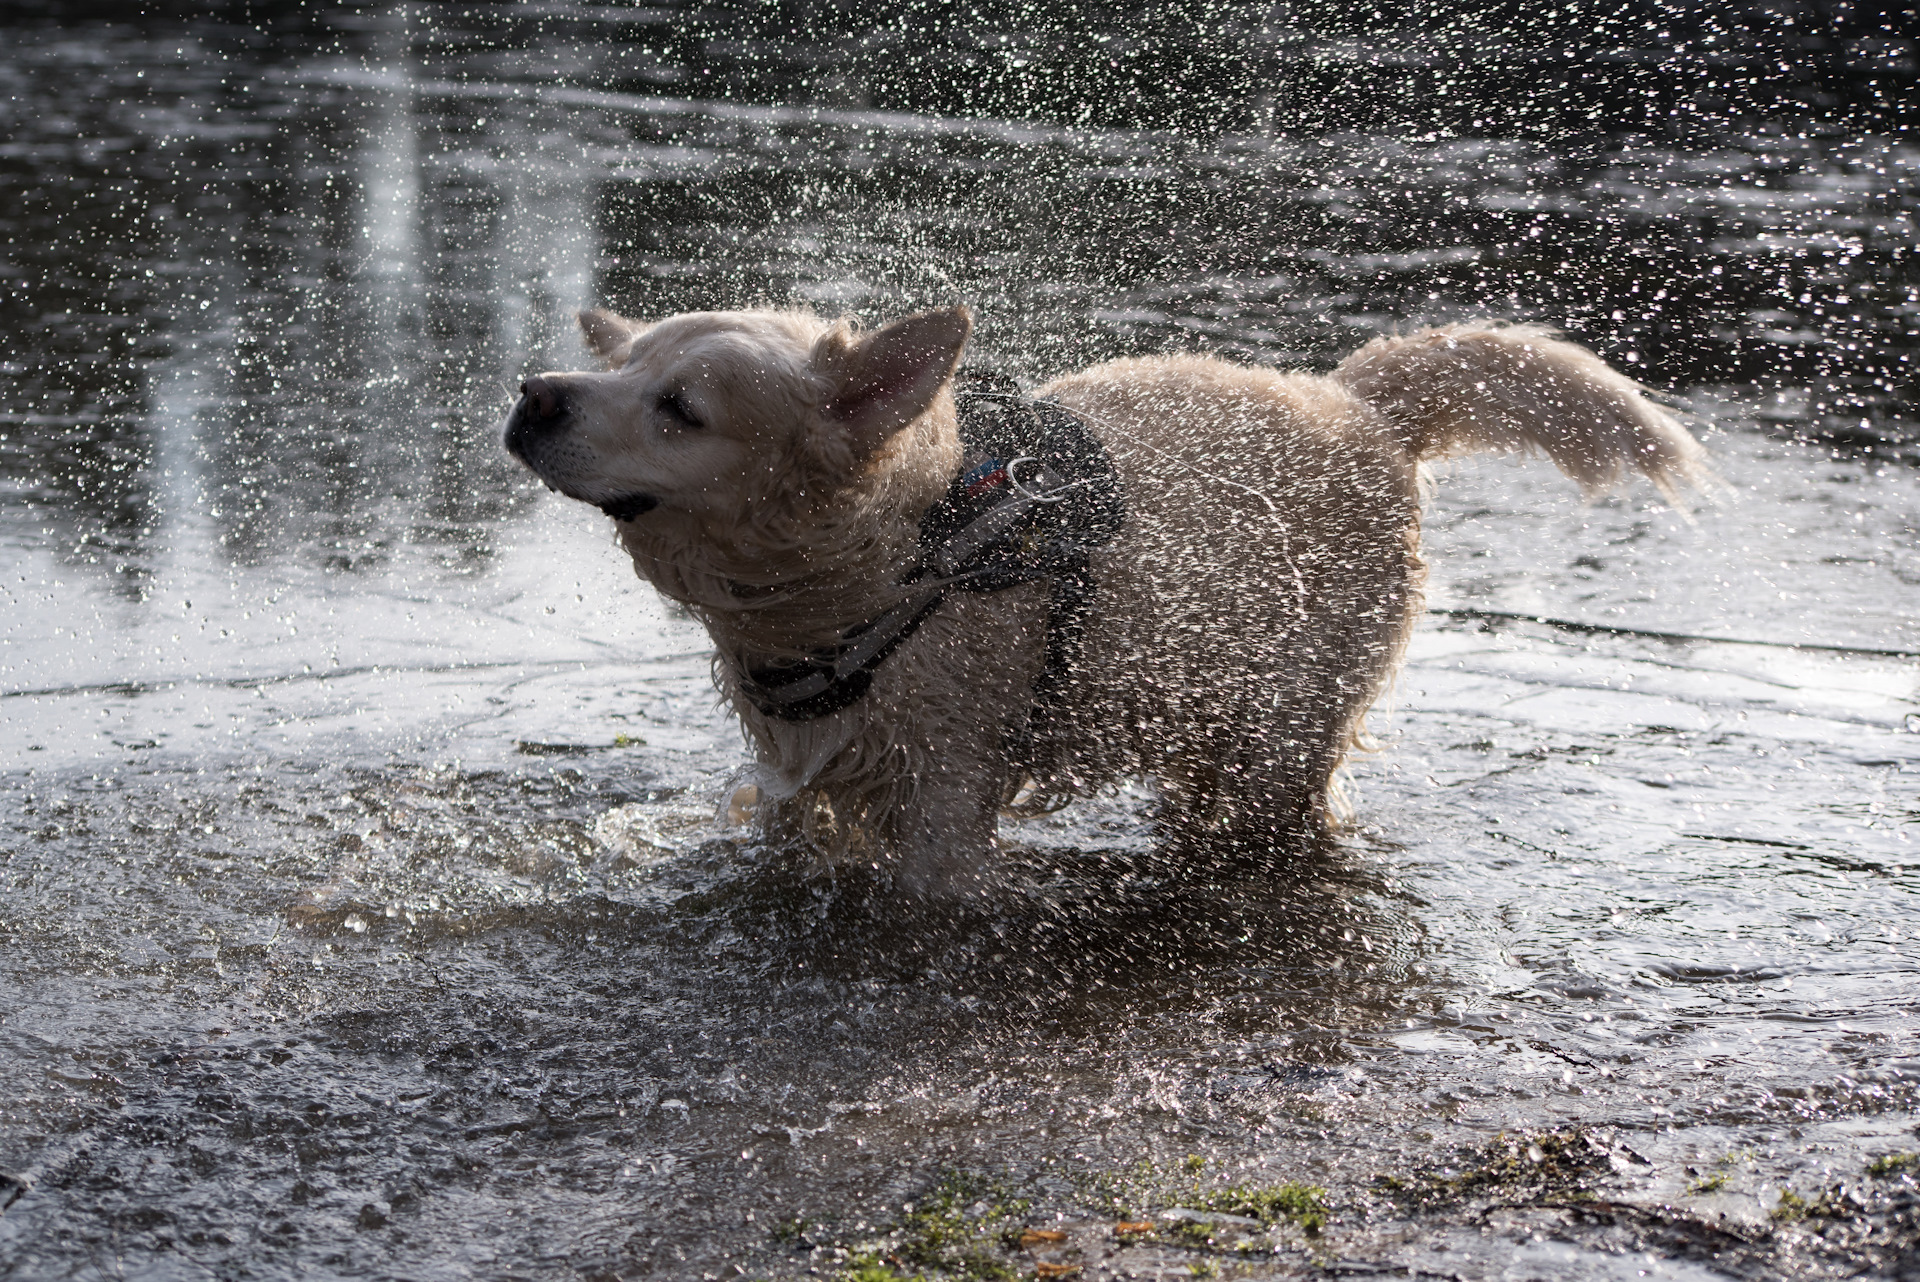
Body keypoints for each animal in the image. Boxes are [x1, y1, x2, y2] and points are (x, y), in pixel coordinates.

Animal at [503, 305, 1704, 898]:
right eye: (619, 363)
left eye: (682, 407)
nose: (535, 394)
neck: (909, 552)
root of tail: (1356, 402)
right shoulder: (802, 781)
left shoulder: (946, 803)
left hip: (1284, 737)